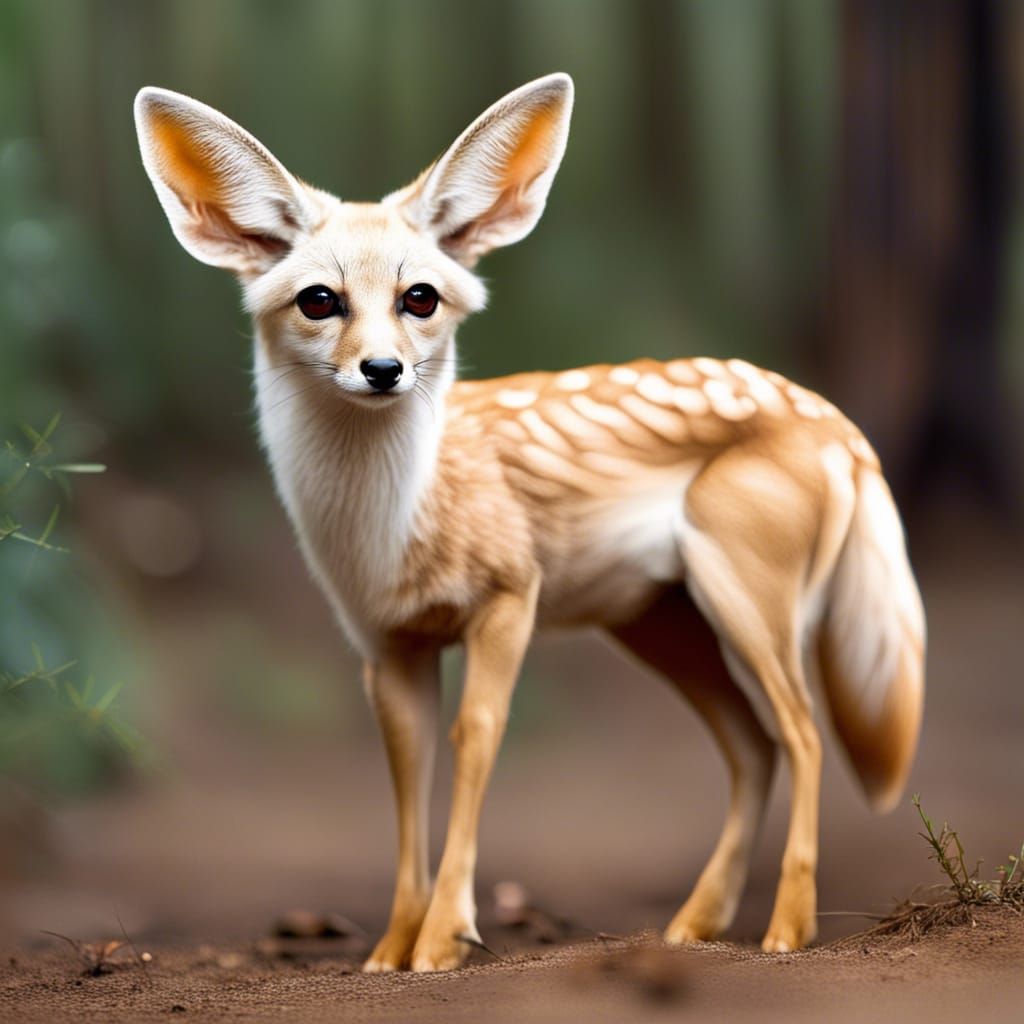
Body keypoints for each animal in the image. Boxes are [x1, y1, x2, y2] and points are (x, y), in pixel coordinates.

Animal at [134, 72, 925, 971]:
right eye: (319, 301)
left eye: (419, 298)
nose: (383, 369)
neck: (396, 529)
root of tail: (836, 421)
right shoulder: (386, 646)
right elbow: (407, 772)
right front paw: (391, 947)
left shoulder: (510, 598)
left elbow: (476, 738)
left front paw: (445, 937)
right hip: (662, 622)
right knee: (755, 747)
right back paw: (695, 924)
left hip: (747, 603)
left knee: (806, 735)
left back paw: (786, 930)